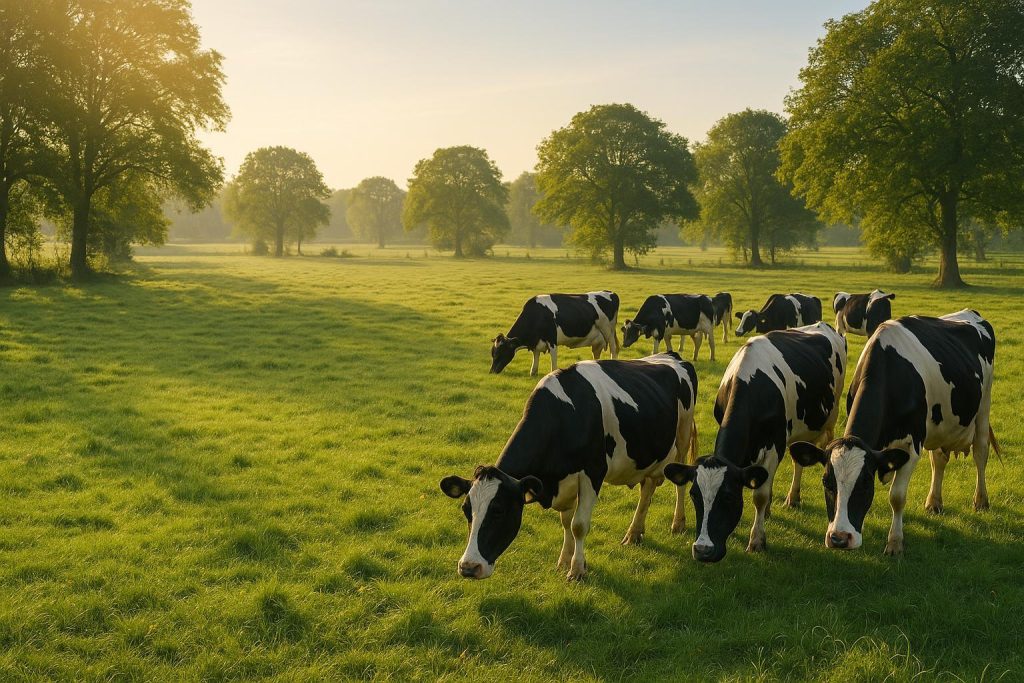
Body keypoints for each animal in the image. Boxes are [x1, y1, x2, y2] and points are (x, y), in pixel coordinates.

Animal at [441, 353, 699, 580]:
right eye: (466, 510)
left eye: (499, 510)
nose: (468, 567)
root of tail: (672, 355)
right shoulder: (563, 481)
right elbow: (566, 522)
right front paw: (565, 560)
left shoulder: (593, 473)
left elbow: (578, 525)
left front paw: (576, 570)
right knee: (647, 488)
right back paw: (634, 533)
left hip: (683, 436)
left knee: (680, 483)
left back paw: (678, 523)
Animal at [490, 291, 619, 376]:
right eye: (493, 354)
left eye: (500, 353)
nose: (491, 372)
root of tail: (611, 293)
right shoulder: (536, 342)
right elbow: (535, 359)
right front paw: (533, 372)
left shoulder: (552, 339)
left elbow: (553, 362)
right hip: (599, 339)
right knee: (597, 352)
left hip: (608, 330)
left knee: (613, 348)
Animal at [663, 322, 846, 563]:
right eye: (694, 495)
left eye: (728, 496)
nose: (703, 550)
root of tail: (822, 325)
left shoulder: (774, 446)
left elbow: (760, 495)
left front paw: (757, 541)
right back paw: (788, 500)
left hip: (831, 417)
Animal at [789, 309, 997, 556]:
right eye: (826, 482)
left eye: (865, 483)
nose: (839, 538)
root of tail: (970, 313)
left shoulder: (912, 446)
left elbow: (896, 497)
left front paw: (895, 543)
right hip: (940, 425)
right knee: (939, 460)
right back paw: (934, 502)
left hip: (984, 406)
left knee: (980, 452)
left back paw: (981, 500)